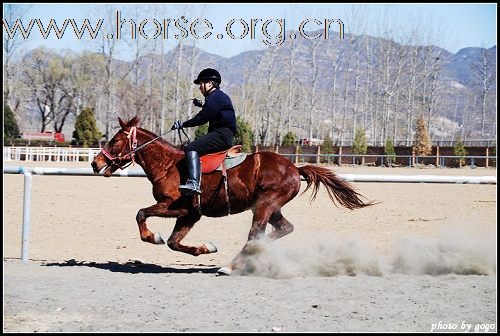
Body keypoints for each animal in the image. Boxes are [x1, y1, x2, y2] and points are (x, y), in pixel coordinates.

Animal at [91, 117, 376, 274]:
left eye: (115, 140)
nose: (95, 163)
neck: (169, 165)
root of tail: (295, 168)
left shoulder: (175, 207)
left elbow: (141, 214)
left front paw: (153, 236)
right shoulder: (191, 214)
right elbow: (174, 242)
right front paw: (205, 247)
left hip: (264, 206)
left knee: (254, 236)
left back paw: (230, 266)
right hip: (271, 208)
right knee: (283, 229)